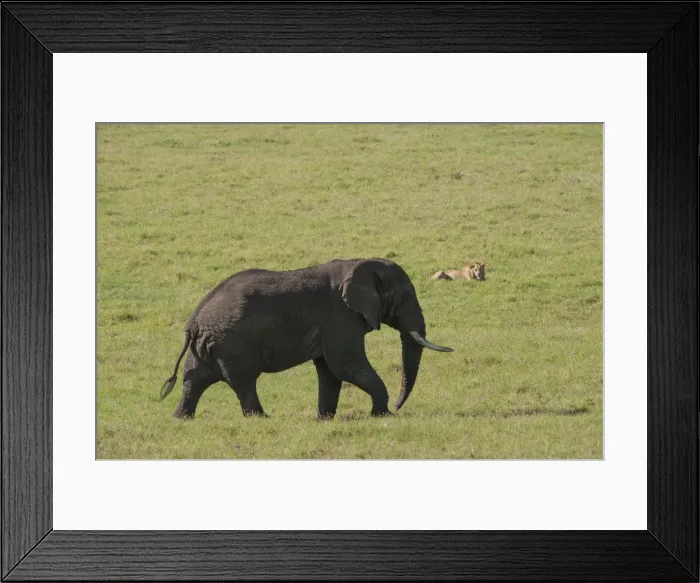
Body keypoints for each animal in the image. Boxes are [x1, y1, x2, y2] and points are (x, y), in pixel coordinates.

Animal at [160, 257, 453, 419]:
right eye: (406, 298)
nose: (396, 406)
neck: (358, 264)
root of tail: (194, 320)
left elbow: (329, 371)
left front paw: (324, 419)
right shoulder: (340, 318)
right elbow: (345, 365)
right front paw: (381, 415)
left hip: (206, 347)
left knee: (193, 380)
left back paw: (181, 419)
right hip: (233, 345)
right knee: (244, 382)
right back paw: (262, 419)